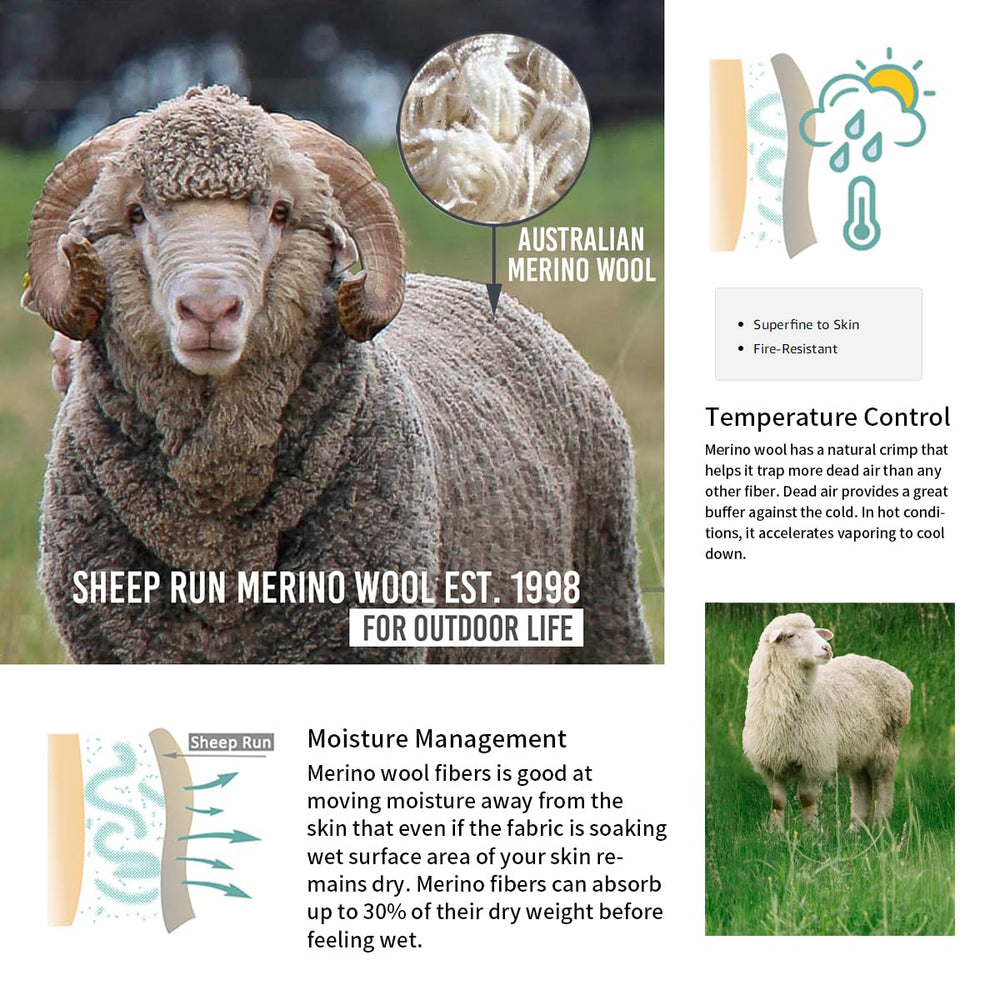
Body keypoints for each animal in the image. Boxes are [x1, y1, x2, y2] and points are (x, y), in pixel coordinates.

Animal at [742, 613, 912, 829]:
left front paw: (810, 831)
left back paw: (881, 825)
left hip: (884, 744)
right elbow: (777, 802)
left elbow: (807, 799)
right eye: (790, 635)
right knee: (861, 783)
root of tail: (901, 677)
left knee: (883, 783)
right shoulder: (770, 763)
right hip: (859, 748)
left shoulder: (813, 758)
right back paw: (856, 827)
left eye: (816, 632)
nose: (827, 649)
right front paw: (775, 832)